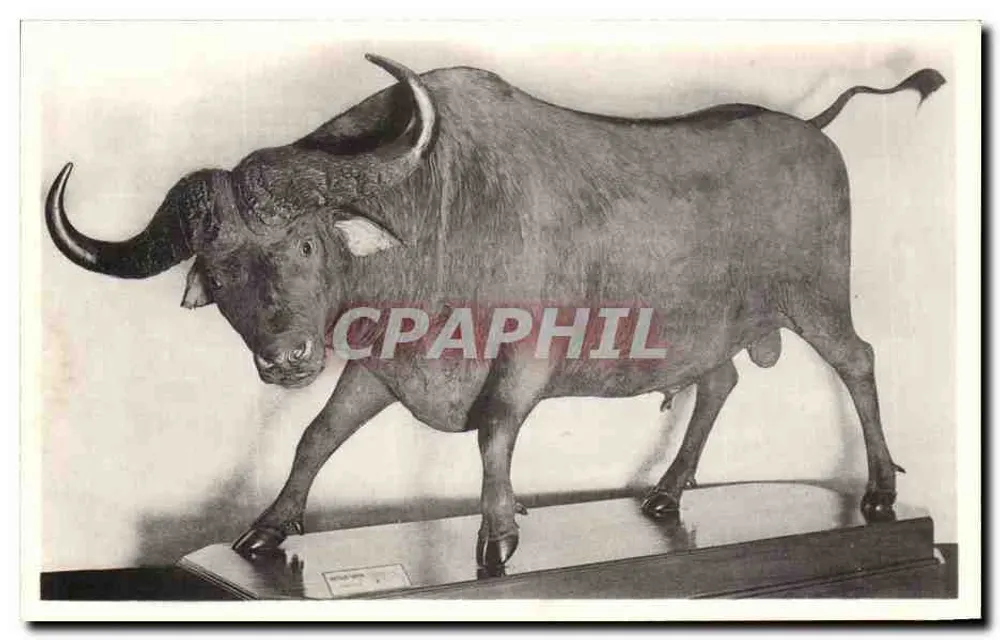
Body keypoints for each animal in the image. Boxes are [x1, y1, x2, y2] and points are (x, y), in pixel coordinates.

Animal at [45, 54, 944, 573]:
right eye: (221, 269)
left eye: (303, 243)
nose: (287, 357)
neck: (439, 214)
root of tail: (812, 129)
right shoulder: (379, 366)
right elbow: (317, 436)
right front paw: (268, 529)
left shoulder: (524, 357)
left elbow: (496, 431)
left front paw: (498, 534)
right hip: (713, 330)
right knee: (718, 382)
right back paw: (664, 495)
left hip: (817, 296)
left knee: (858, 362)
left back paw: (877, 494)